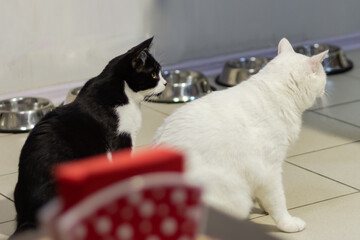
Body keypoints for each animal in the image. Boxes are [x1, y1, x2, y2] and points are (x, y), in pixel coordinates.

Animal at [11, 37, 167, 236]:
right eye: (154, 75)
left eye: (160, 73)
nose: (166, 83)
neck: (124, 94)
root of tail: (27, 218)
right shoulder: (121, 138)